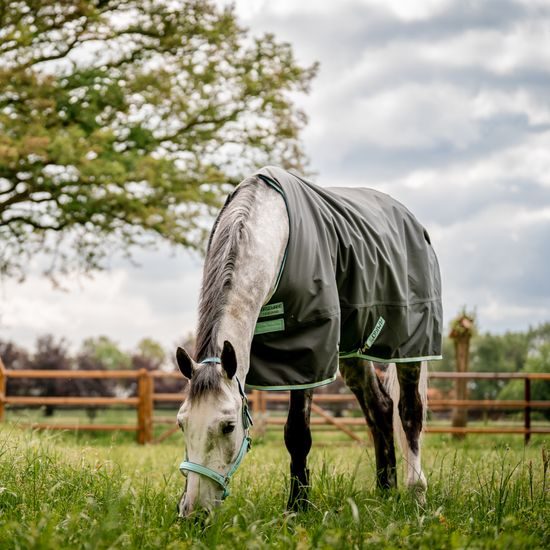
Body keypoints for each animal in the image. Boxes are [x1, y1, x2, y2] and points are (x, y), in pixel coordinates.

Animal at [177, 167, 444, 516]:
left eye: (228, 426)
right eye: (182, 424)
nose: (193, 514)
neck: (272, 233)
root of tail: (409, 218)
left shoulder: (307, 353)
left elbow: (297, 434)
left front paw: (297, 508)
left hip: (411, 345)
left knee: (409, 412)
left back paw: (416, 495)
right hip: (352, 353)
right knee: (381, 408)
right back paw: (385, 492)